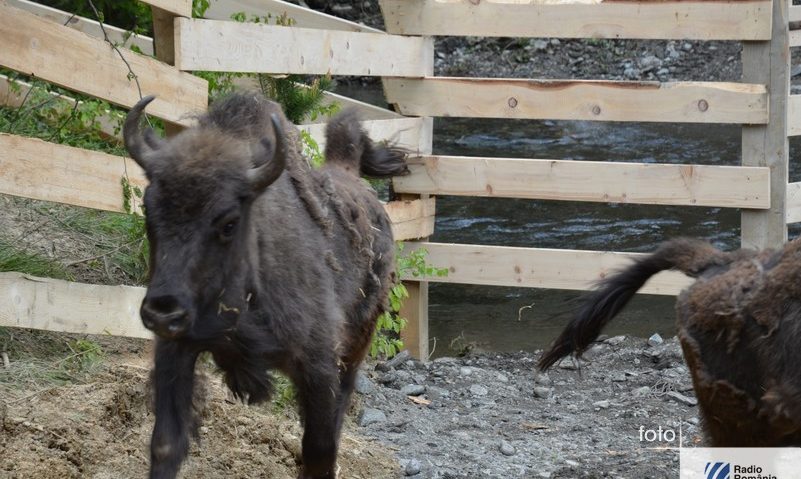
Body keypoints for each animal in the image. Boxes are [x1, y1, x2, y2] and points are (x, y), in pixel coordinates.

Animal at [124, 92, 410, 478]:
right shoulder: (175, 350)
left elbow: (320, 449)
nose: (162, 312)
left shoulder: (318, 366)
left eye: (229, 222)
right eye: (148, 208)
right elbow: (166, 444)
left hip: (357, 344)